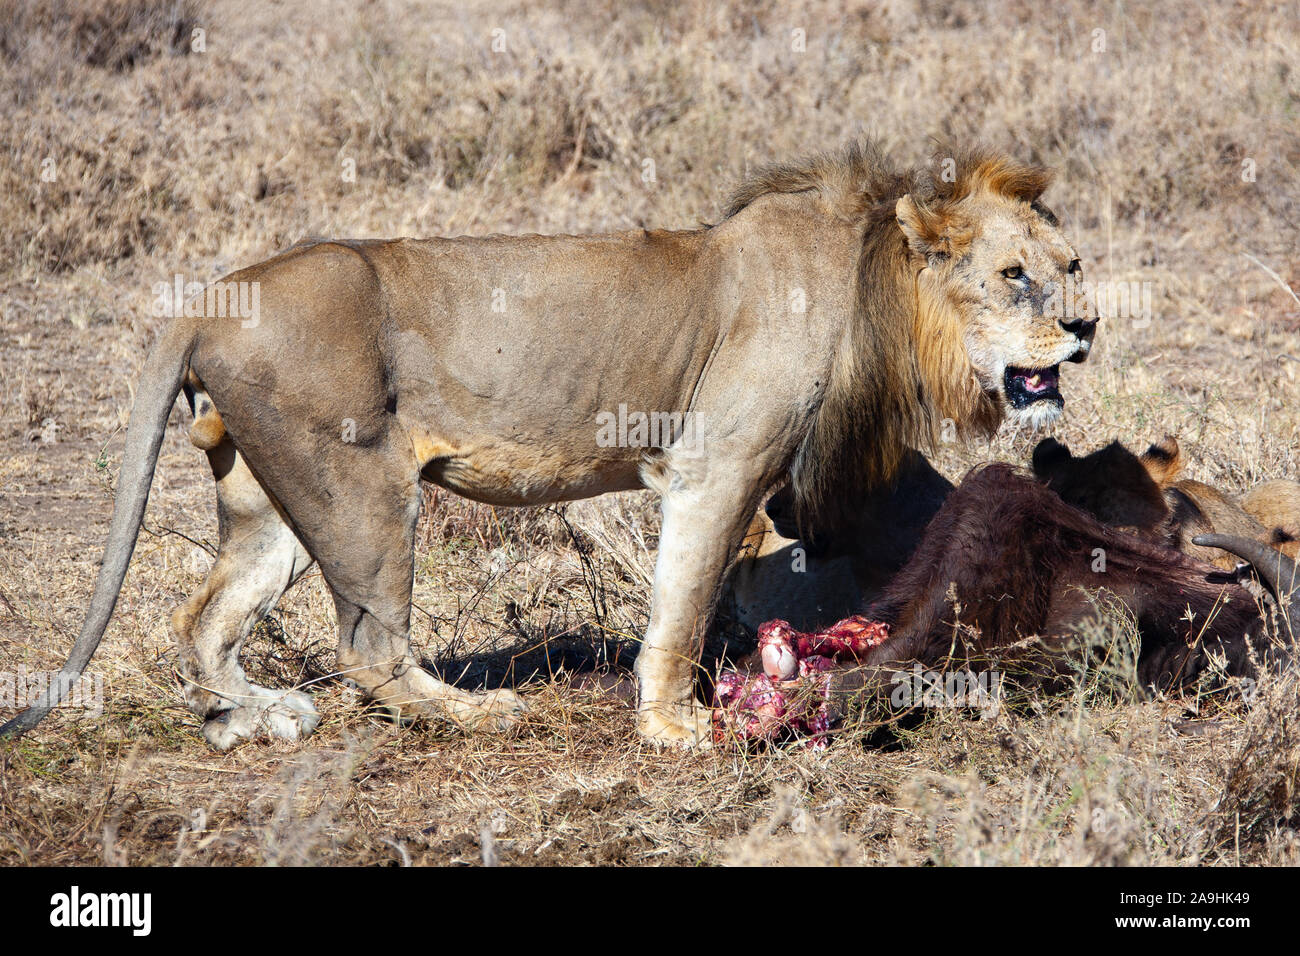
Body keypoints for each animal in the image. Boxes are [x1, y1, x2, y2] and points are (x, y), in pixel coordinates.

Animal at [2, 138, 1097, 749]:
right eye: (1014, 275)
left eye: (1072, 263)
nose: (1088, 326)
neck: (881, 288)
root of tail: (209, 300)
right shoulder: (718, 462)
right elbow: (683, 600)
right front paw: (673, 725)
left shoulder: (782, 477)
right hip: (363, 491)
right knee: (367, 644)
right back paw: (476, 716)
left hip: (265, 498)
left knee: (203, 617)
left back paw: (256, 718)